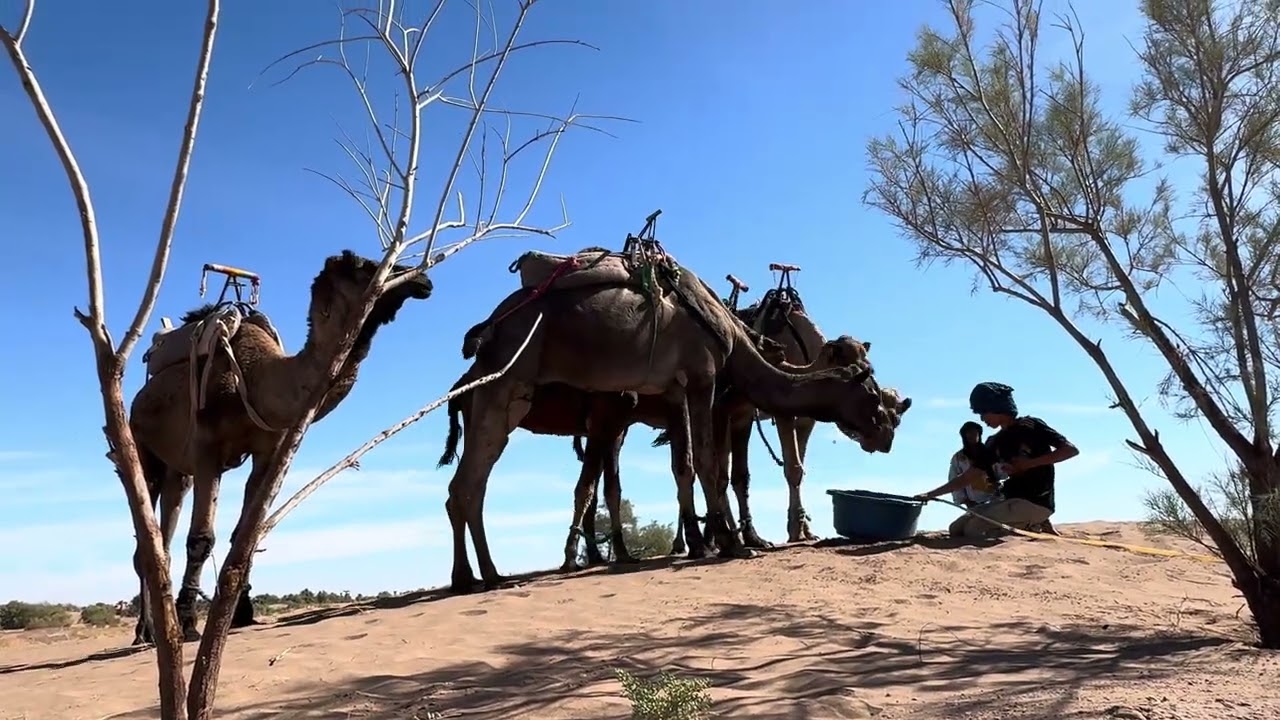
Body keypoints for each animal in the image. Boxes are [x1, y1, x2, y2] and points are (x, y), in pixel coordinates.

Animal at [128, 250, 432, 644]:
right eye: (362, 265)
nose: (423, 280)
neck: (257, 378)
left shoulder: (266, 452)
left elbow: (245, 532)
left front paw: (241, 613)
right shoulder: (207, 450)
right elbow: (201, 539)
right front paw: (190, 623)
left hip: (177, 470)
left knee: (161, 538)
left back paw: (154, 629)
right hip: (143, 449)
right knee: (145, 540)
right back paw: (146, 631)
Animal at [445, 246, 898, 593]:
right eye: (871, 394)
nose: (886, 432)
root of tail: (489, 330)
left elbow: (703, 467)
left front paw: (722, 540)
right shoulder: (702, 378)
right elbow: (709, 465)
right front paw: (732, 544)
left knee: (469, 486)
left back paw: (479, 574)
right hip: (508, 383)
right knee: (468, 484)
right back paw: (483, 576)